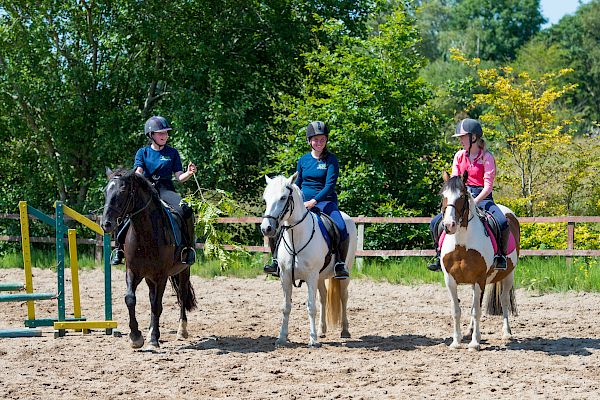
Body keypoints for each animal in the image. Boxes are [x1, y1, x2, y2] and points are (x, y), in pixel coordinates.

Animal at [101, 169, 197, 350]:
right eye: (106, 191)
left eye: (123, 191)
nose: (106, 224)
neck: (145, 235)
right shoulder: (132, 272)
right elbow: (130, 299)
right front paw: (136, 337)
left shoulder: (161, 276)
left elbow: (157, 306)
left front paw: (153, 339)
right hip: (149, 278)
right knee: (153, 297)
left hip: (183, 270)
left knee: (181, 295)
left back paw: (182, 330)